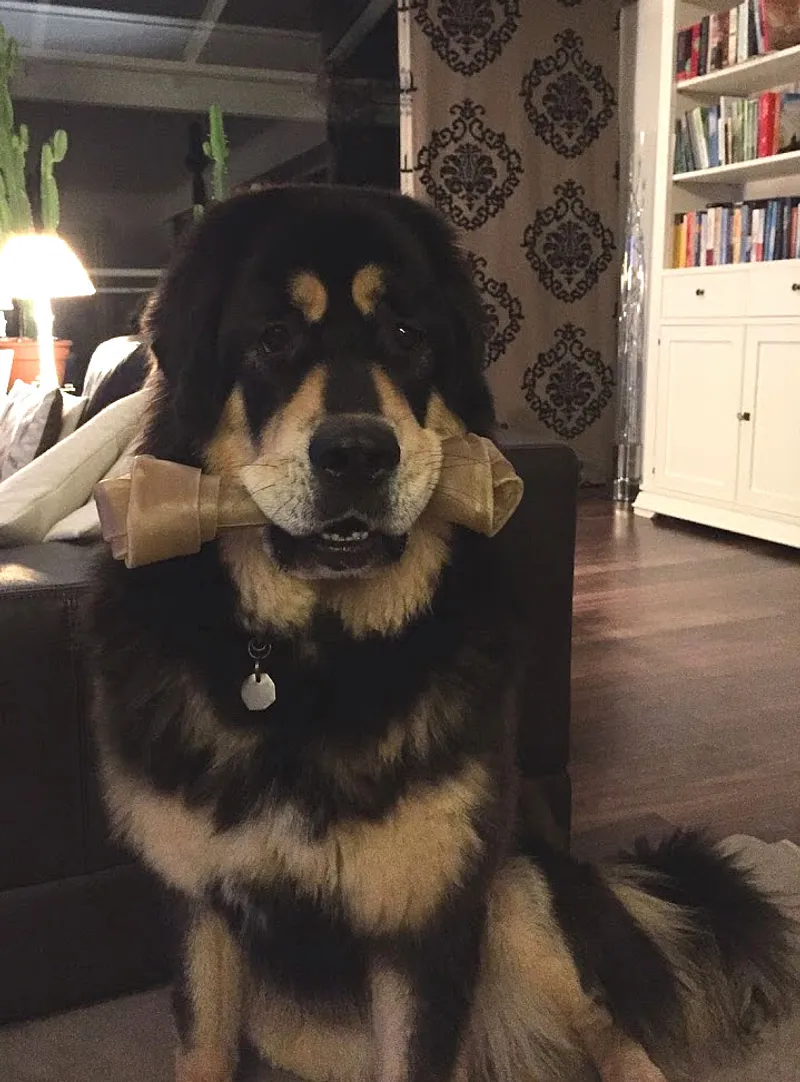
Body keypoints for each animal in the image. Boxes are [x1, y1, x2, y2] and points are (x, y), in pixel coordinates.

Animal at [87, 185, 800, 1082]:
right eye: (273, 337)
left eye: (406, 335)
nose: (358, 454)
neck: (314, 662)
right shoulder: (199, 907)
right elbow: (204, 1049)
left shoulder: (428, 919)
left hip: (520, 889)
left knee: (607, 1020)